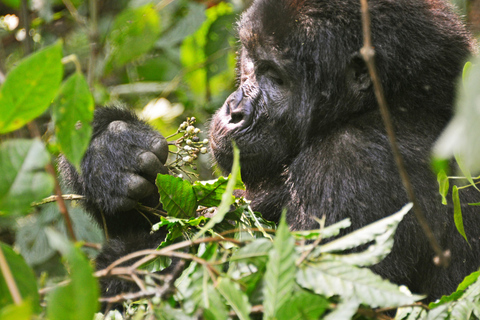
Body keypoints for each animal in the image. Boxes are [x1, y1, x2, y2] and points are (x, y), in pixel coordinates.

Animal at [61, 0, 480, 304]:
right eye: (250, 59)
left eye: (276, 77)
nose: (233, 111)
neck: (392, 102)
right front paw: (107, 151)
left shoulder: (351, 169)